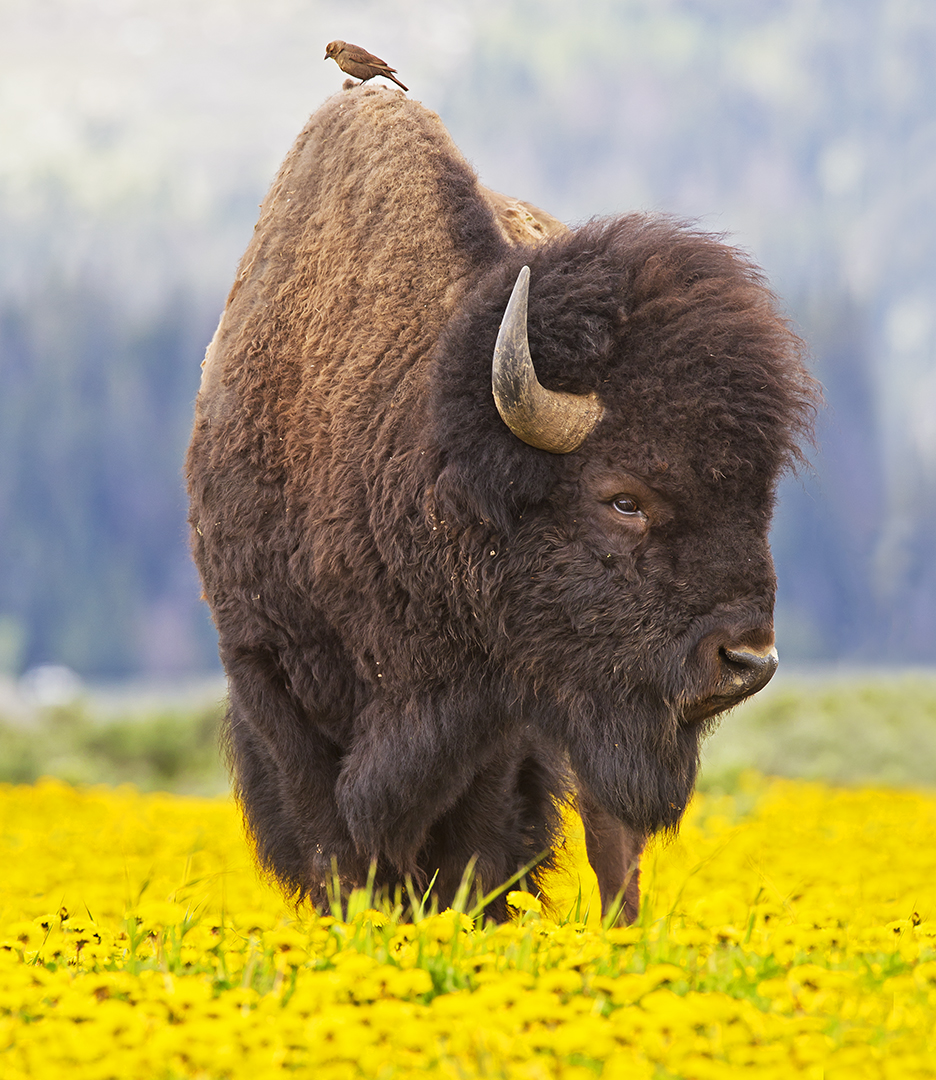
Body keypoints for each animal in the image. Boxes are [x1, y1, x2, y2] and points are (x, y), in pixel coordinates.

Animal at [186, 88, 816, 924]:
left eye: (758, 493)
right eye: (623, 499)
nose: (747, 660)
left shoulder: (504, 721)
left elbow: (474, 856)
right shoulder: (270, 683)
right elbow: (333, 851)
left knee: (615, 851)